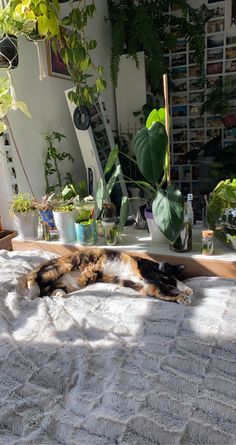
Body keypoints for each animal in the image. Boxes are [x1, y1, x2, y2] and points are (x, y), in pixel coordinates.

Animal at [25, 248, 193, 304]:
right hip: (60, 268)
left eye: (165, 279)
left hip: (75, 282)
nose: (160, 280)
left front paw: (183, 293)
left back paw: (59, 294)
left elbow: (164, 292)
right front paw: (183, 294)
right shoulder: (145, 269)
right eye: (161, 276)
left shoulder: (148, 287)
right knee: (34, 279)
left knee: (48, 289)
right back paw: (32, 293)